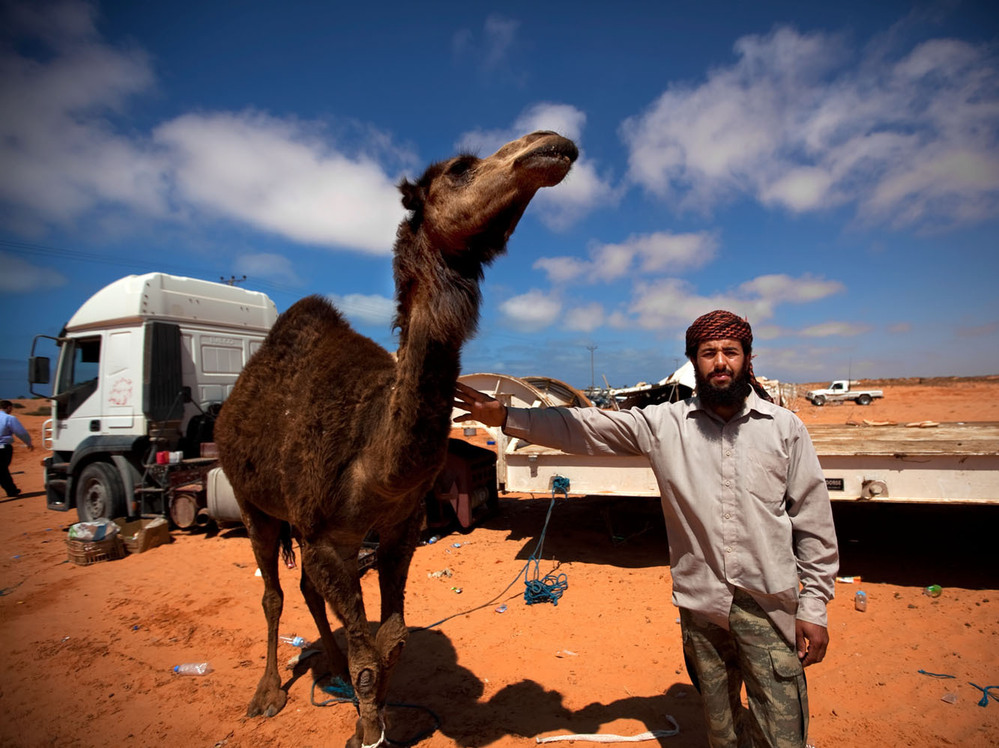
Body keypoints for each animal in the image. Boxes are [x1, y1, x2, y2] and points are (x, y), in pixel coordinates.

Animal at [213, 131, 577, 748]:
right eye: (460, 169)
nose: (550, 143)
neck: (374, 460)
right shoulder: (328, 536)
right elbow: (367, 651)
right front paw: (365, 730)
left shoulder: (399, 529)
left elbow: (392, 641)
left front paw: (378, 716)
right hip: (251, 502)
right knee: (273, 592)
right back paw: (267, 694)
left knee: (306, 591)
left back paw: (330, 666)